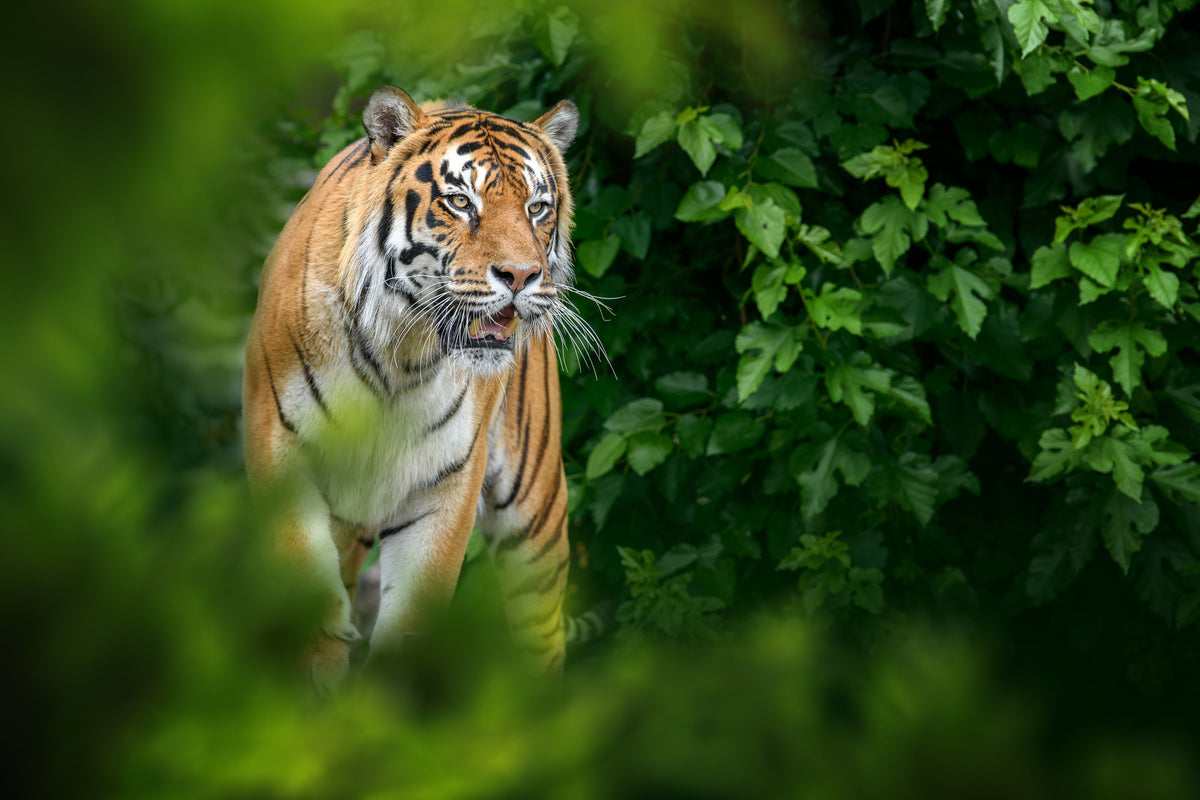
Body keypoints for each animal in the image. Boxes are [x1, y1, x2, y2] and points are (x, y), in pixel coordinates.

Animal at [243, 86, 582, 694]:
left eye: (537, 208)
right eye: (461, 202)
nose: (522, 276)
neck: (400, 354)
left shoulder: (446, 484)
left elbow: (410, 622)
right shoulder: (282, 454)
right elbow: (312, 607)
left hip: (535, 515)